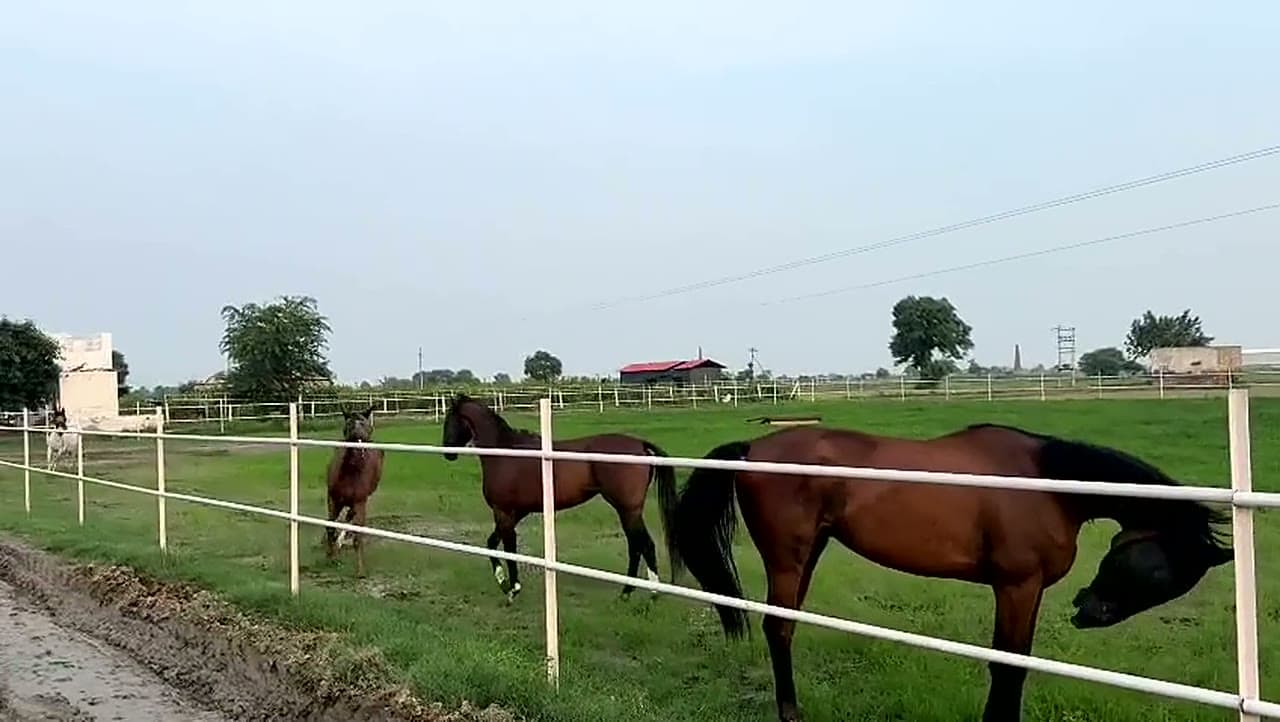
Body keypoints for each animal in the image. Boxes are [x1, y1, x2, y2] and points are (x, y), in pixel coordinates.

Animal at [324, 406, 384, 578]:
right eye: (349, 424)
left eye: (364, 424)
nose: (359, 448)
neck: (350, 474)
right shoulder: (333, 499)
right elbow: (330, 527)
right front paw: (330, 557)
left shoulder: (360, 502)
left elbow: (358, 537)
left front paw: (360, 570)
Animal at [441, 394, 678, 602]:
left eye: (450, 421)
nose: (448, 453)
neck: (505, 454)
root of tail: (640, 444)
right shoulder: (516, 513)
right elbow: (492, 543)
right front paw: (504, 583)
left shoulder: (504, 512)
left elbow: (509, 548)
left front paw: (512, 588)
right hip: (628, 510)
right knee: (636, 546)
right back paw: (628, 593)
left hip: (628, 509)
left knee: (643, 545)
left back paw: (646, 593)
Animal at [661, 423, 1232, 722]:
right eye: (1160, 573)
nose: (1088, 612)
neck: (1045, 484)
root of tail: (752, 448)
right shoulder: (1016, 585)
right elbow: (1008, 666)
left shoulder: (1026, 591)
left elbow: (1015, 663)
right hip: (788, 557)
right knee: (778, 629)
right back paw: (790, 714)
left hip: (809, 554)